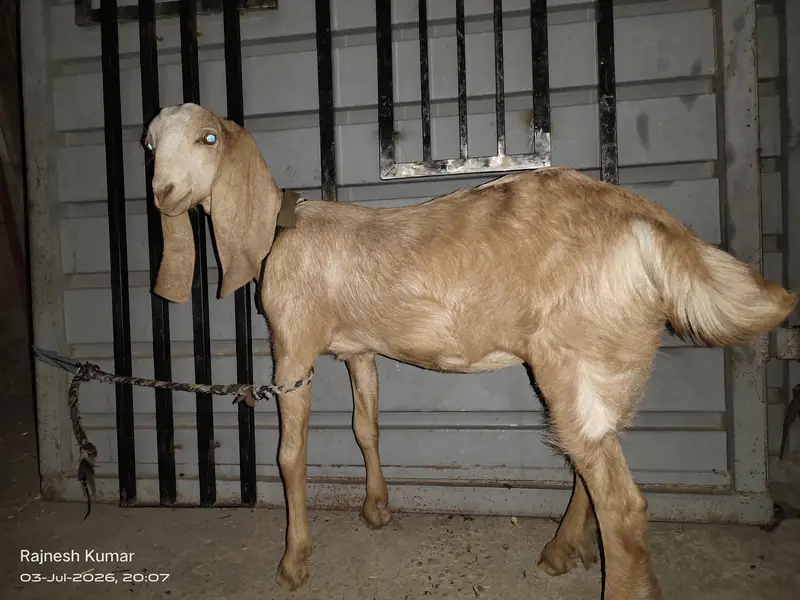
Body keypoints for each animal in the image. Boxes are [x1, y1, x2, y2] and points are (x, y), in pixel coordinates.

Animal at [143, 102, 797, 599]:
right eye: (150, 143)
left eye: (207, 138)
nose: (163, 193)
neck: (281, 230)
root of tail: (649, 223)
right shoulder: (359, 349)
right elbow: (365, 426)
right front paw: (376, 509)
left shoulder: (294, 344)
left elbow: (290, 455)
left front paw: (293, 562)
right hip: (601, 367)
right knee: (590, 460)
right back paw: (561, 549)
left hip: (577, 356)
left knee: (625, 505)